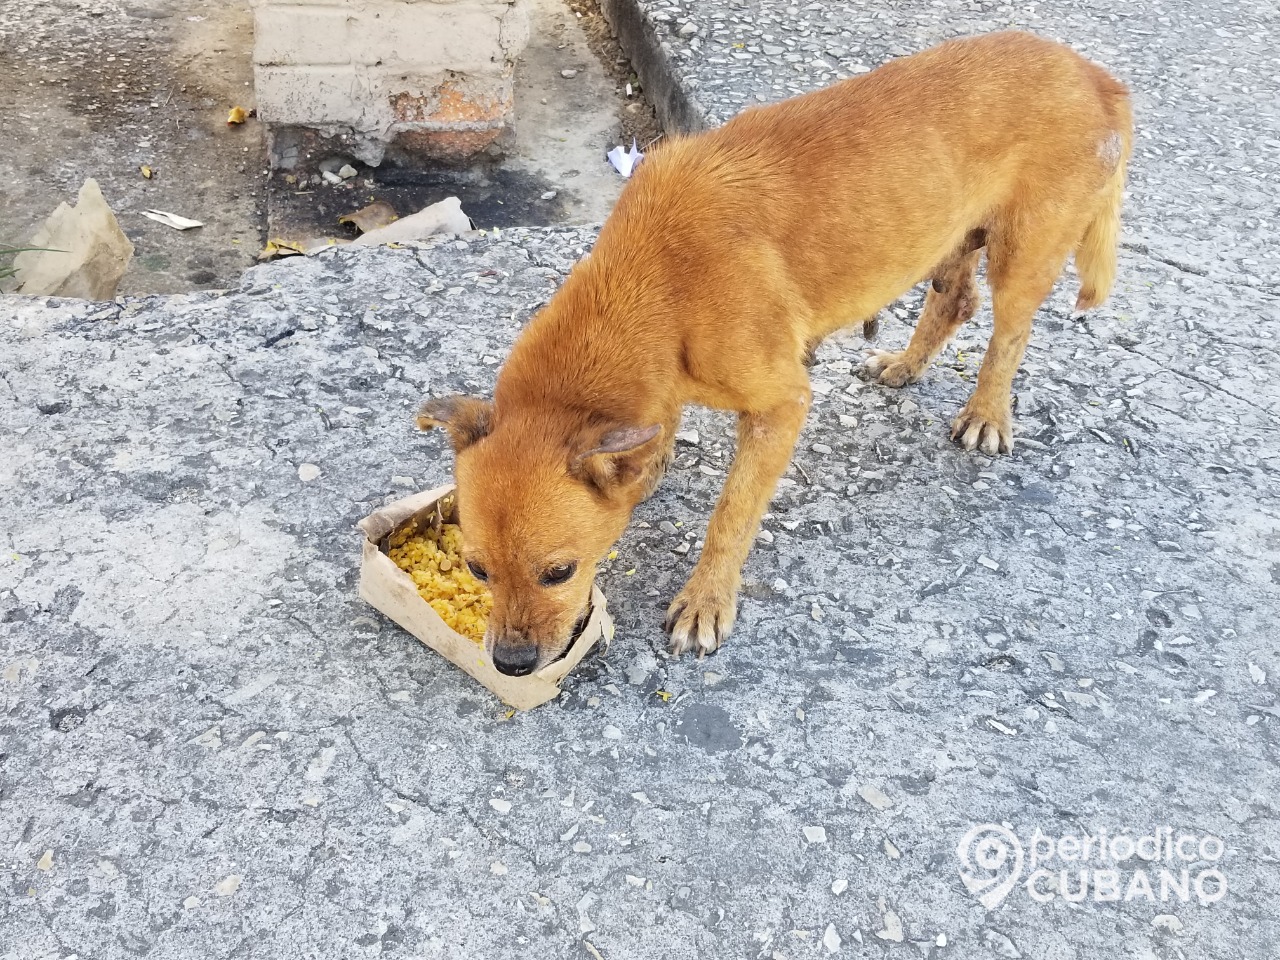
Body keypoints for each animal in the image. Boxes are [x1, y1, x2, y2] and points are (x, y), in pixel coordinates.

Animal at [419, 32, 1131, 675]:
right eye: (476, 568)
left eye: (559, 571)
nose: (511, 664)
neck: (655, 284)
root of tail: (1098, 77)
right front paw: (649, 467)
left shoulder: (781, 406)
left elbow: (731, 516)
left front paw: (706, 601)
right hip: (951, 238)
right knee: (957, 301)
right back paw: (904, 365)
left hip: (1024, 253)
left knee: (1009, 335)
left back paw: (987, 413)